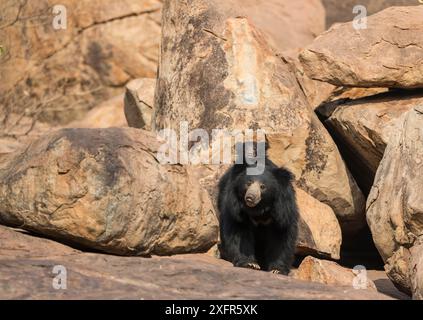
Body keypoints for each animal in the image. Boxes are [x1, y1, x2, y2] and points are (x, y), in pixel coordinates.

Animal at [219, 142, 298, 276]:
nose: (250, 197)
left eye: (263, 187)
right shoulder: (235, 208)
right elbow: (238, 232)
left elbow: (281, 237)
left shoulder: (282, 210)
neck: (259, 209)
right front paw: (250, 263)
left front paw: (277, 270)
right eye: (248, 183)